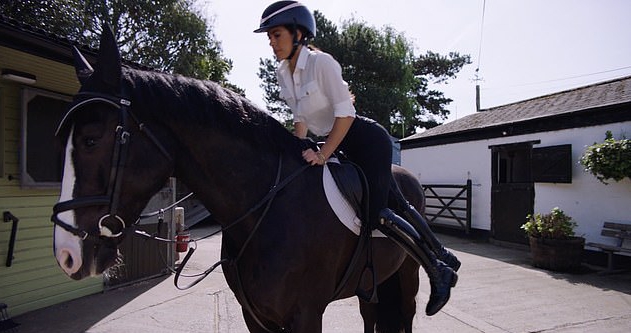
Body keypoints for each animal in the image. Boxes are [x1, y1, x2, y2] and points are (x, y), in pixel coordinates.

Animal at [51, 27, 428, 330]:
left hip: (407, 274)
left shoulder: (306, 315)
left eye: (91, 140)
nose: (66, 254)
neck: (269, 208)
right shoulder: (256, 316)